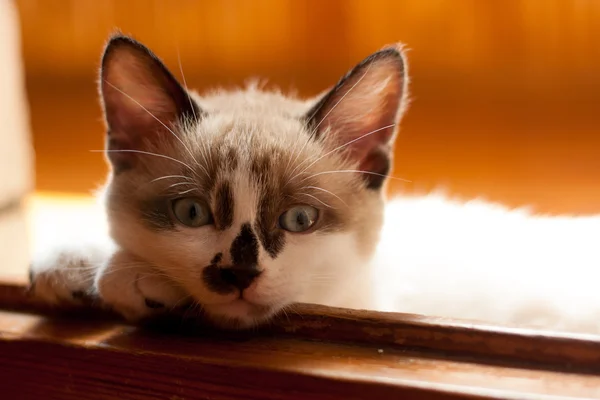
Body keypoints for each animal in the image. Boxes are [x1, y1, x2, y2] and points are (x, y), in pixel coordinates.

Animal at [30, 35, 600, 334]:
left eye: (299, 219)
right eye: (192, 213)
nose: (238, 274)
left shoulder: (372, 304)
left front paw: (127, 275)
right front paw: (71, 263)